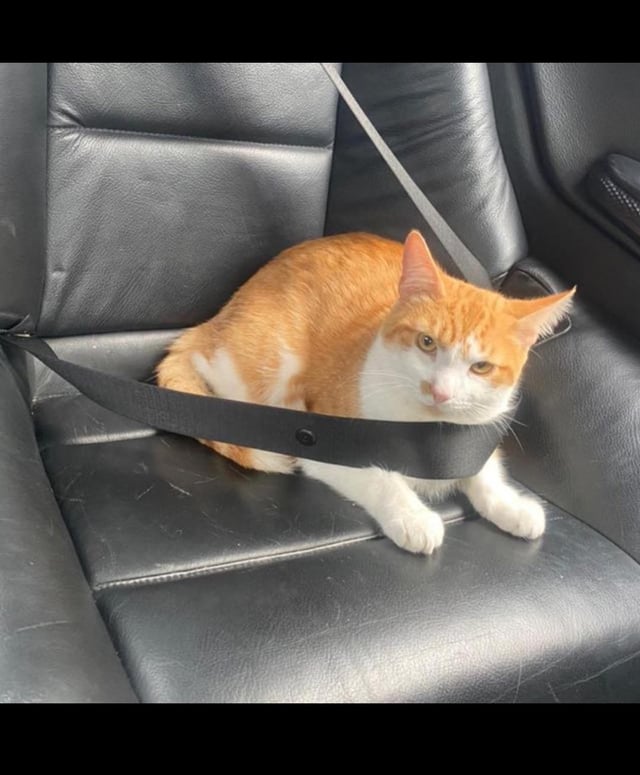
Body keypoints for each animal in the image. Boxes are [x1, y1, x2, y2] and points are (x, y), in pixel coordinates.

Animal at [157, 230, 574, 555]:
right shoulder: (321, 441)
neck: (426, 427)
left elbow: (484, 473)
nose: (440, 391)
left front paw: (511, 505)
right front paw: (413, 517)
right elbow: (380, 478)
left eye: (481, 367)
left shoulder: (477, 432)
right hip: (271, 358)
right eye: (426, 343)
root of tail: (211, 325)